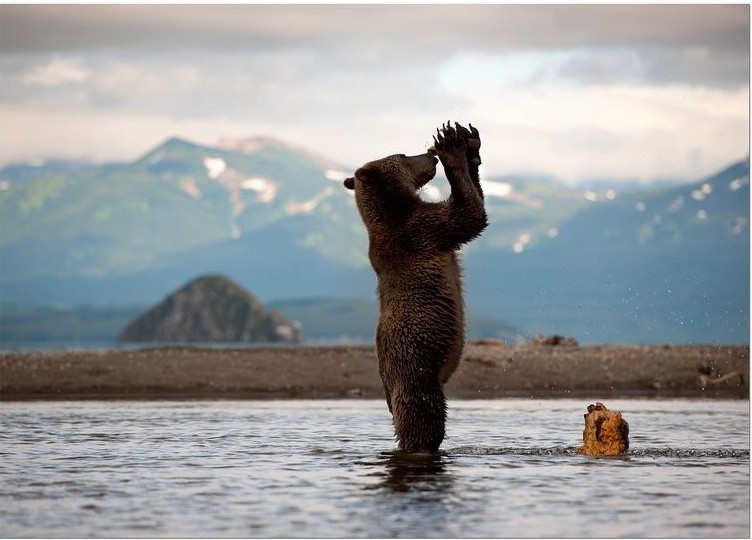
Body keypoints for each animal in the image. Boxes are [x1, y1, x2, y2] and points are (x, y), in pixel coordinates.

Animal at [346, 123, 488, 452]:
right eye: (402, 154)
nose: (429, 156)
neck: (394, 207)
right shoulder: (422, 230)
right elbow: (469, 215)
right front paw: (452, 147)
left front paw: (471, 147)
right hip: (415, 360)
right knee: (424, 411)